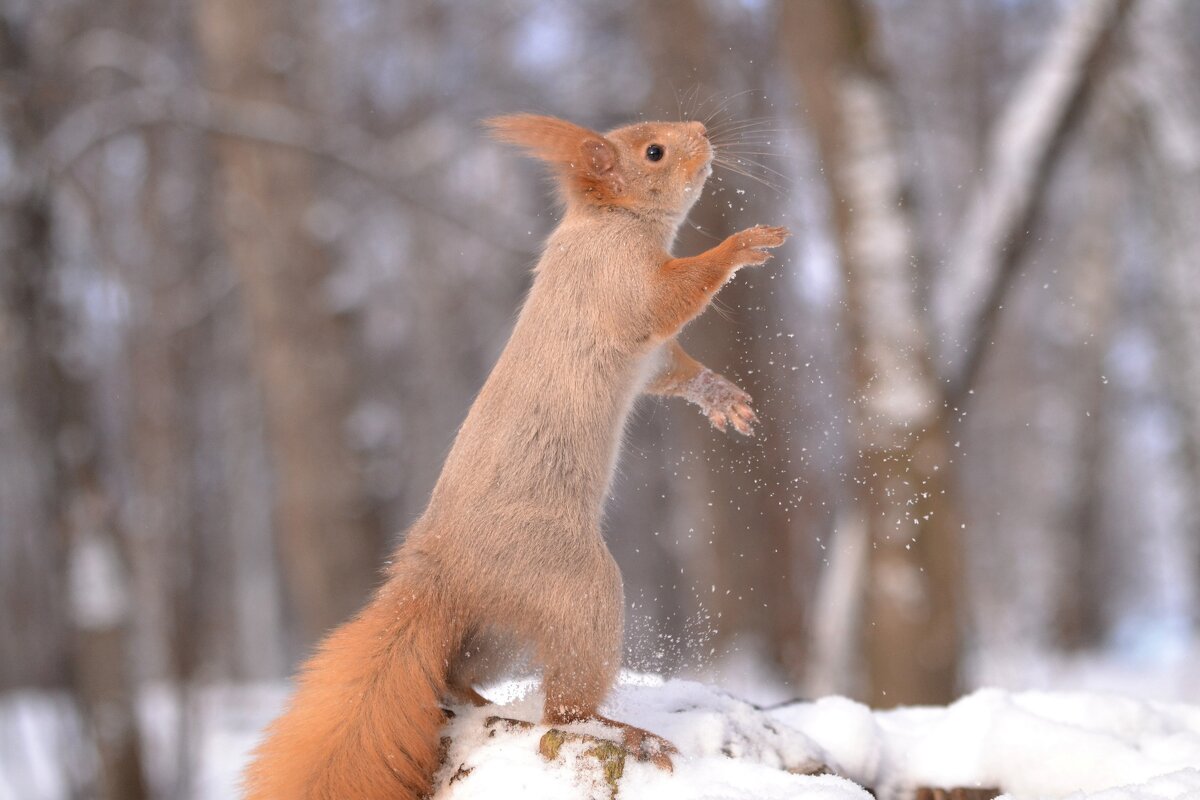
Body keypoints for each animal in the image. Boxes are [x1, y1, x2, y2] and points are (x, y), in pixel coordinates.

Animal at [240, 113, 792, 800]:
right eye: (654, 152)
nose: (702, 133)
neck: (609, 222)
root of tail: (440, 570)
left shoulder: (651, 357)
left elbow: (675, 368)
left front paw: (722, 399)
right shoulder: (615, 283)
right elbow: (671, 298)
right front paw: (742, 246)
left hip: (498, 628)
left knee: (455, 673)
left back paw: (481, 705)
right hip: (572, 586)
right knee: (564, 709)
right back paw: (620, 731)